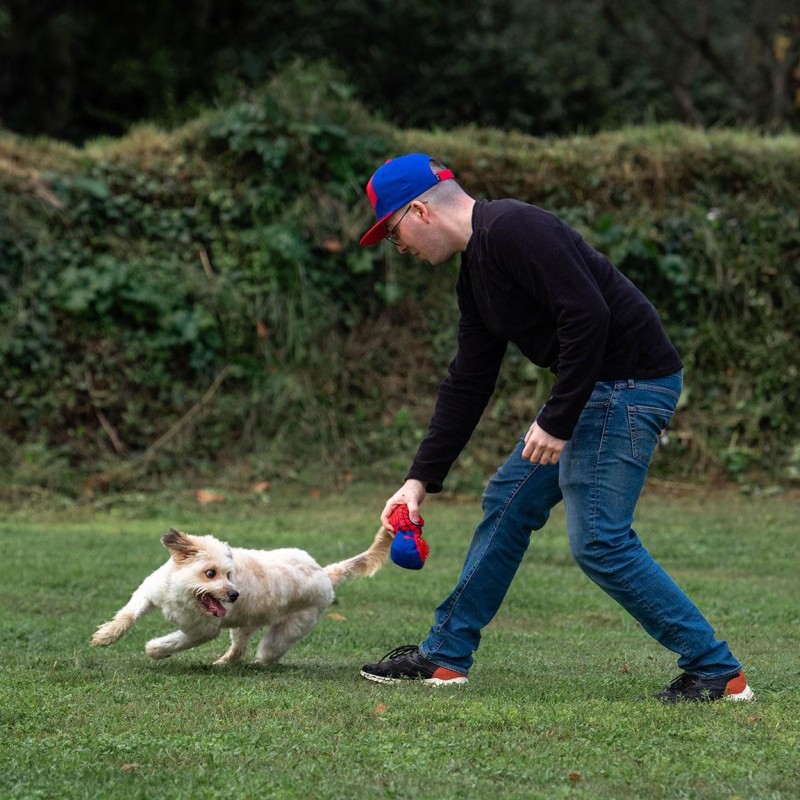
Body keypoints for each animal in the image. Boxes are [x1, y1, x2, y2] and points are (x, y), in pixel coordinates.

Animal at [90, 524, 390, 664]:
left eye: (230, 574)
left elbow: (175, 641)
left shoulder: (201, 631)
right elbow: (128, 615)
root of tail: (326, 574)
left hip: (284, 632)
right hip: (245, 624)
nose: (234, 595)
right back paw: (224, 662)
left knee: (266, 652)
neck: (184, 595)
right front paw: (105, 636)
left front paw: (155, 649)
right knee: (238, 649)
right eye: (211, 573)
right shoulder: (149, 593)